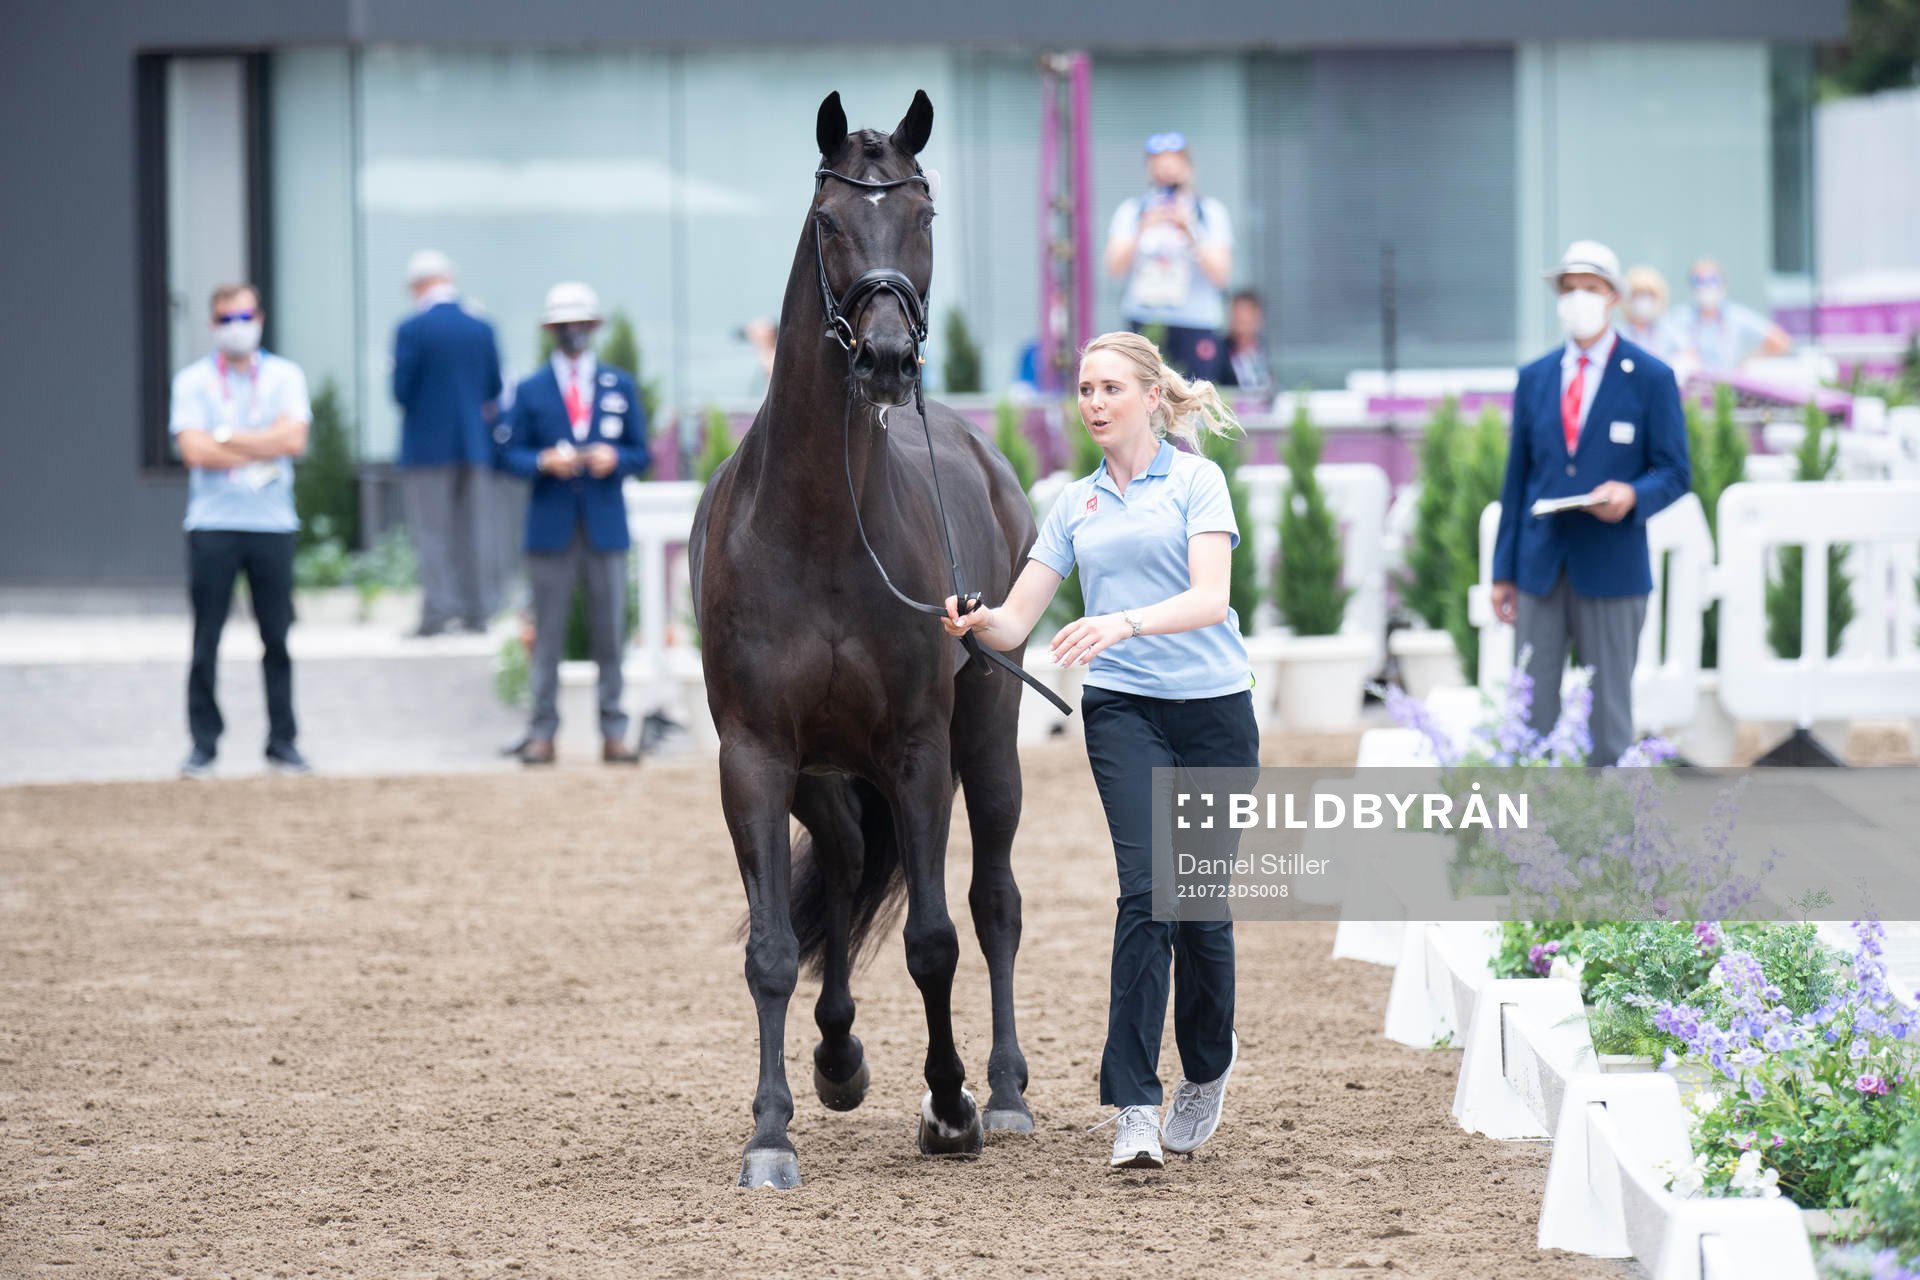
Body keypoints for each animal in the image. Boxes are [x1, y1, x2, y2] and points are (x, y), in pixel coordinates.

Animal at [688, 90, 1037, 1190]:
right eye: (831, 220)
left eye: (922, 215)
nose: (887, 359)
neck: (819, 522)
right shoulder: (757, 754)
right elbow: (769, 948)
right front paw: (770, 1132)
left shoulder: (919, 749)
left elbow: (935, 937)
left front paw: (952, 1104)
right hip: (820, 769)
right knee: (841, 862)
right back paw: (838, 1054)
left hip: (988, 738)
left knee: (994, 898)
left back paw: (1005, 1091)